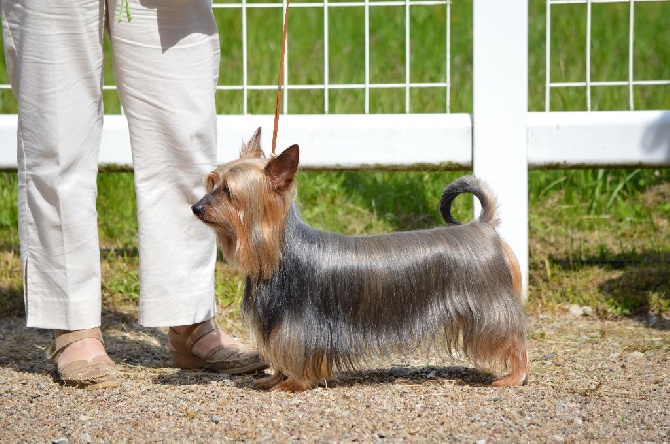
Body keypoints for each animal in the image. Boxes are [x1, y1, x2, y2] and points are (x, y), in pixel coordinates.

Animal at [193, 128, 532, 392]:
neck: (276, 253)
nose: (196, 207)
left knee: (514, 339)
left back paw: (514, 377)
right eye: (211, 183)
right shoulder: (278, 323)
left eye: (229, 192)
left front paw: (292, 383)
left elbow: (299, 355)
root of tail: (484, 226)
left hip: (489, 308)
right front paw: (274, 378)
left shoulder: (299, 326)